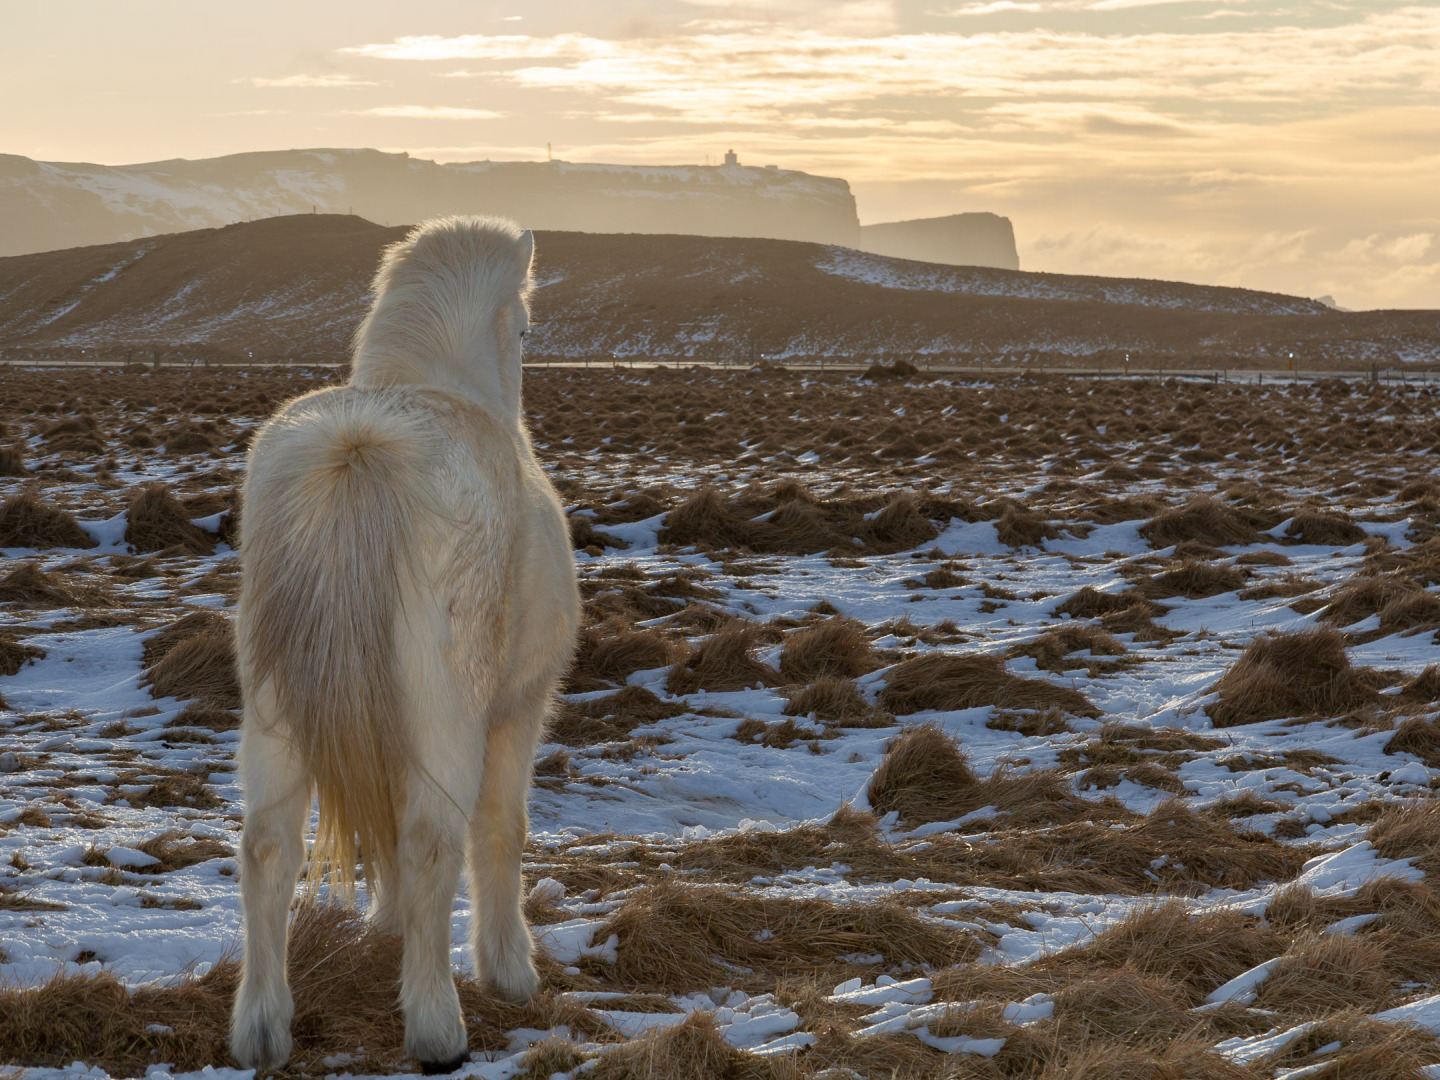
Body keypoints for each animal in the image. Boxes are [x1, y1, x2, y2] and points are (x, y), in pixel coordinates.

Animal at [227, 216, 579, 1074]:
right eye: (526, 325)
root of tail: (361, 445)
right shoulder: (519, 710)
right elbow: (501, 829)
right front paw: (510, 969)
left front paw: (384, 927)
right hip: (449, 715)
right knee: (430, 841)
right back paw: (437, 1028)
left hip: (274, 712)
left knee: (267, 848)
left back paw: (261, 1031)